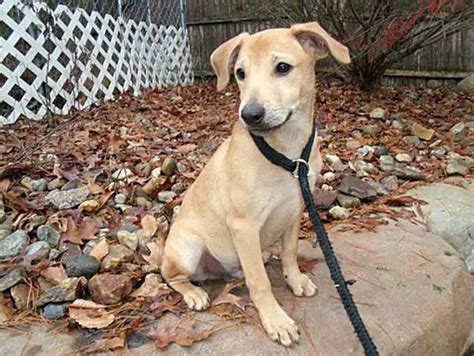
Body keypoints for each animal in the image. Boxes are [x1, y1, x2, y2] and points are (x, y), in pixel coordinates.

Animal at [161, 22, 350, 344]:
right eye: (240, 73)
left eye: (283, 67)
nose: (250, 115)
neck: (286, 154)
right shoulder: (243, 224)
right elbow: (260, 282)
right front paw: (276, 320)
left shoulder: (296, 208)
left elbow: (289, 252)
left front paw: (295, 280)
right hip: (187, 248)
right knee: (172, 277)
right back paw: (194, 293)